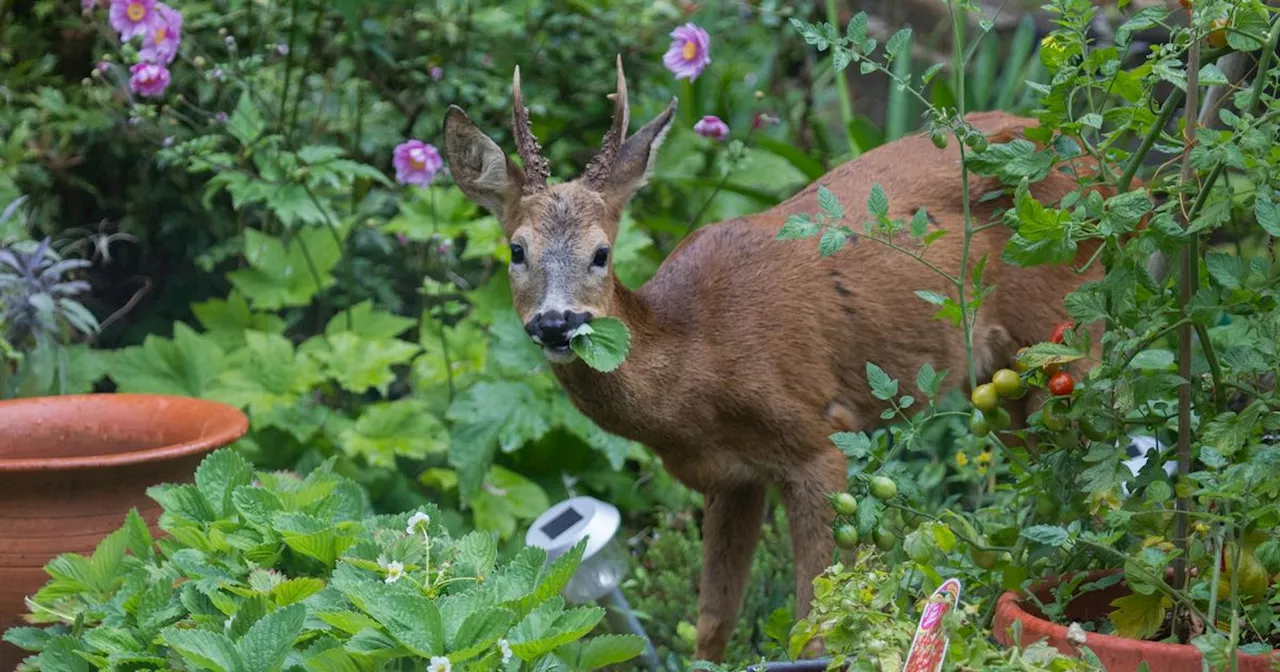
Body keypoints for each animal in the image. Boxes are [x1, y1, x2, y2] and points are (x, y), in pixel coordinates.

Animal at [448, 53, 1111, 660]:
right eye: (516, 250)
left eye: (601, 253)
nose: (556, 323)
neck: (698, 362)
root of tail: (1097, 163)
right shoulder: (730, 478)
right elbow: (712, 623)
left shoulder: (818, 439)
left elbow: (814, 624)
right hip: (1005, 379)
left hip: (1071, 325)